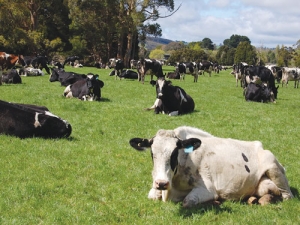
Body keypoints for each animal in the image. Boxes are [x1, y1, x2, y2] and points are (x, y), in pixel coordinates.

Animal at [129, 125, 292, 207]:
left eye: (175, 152)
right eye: (152, 153)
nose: (161, 183)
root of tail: (258, 145)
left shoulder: (207, 189)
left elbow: (187, 202)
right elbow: (151, 195)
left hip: (274, 167)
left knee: (287, 196)